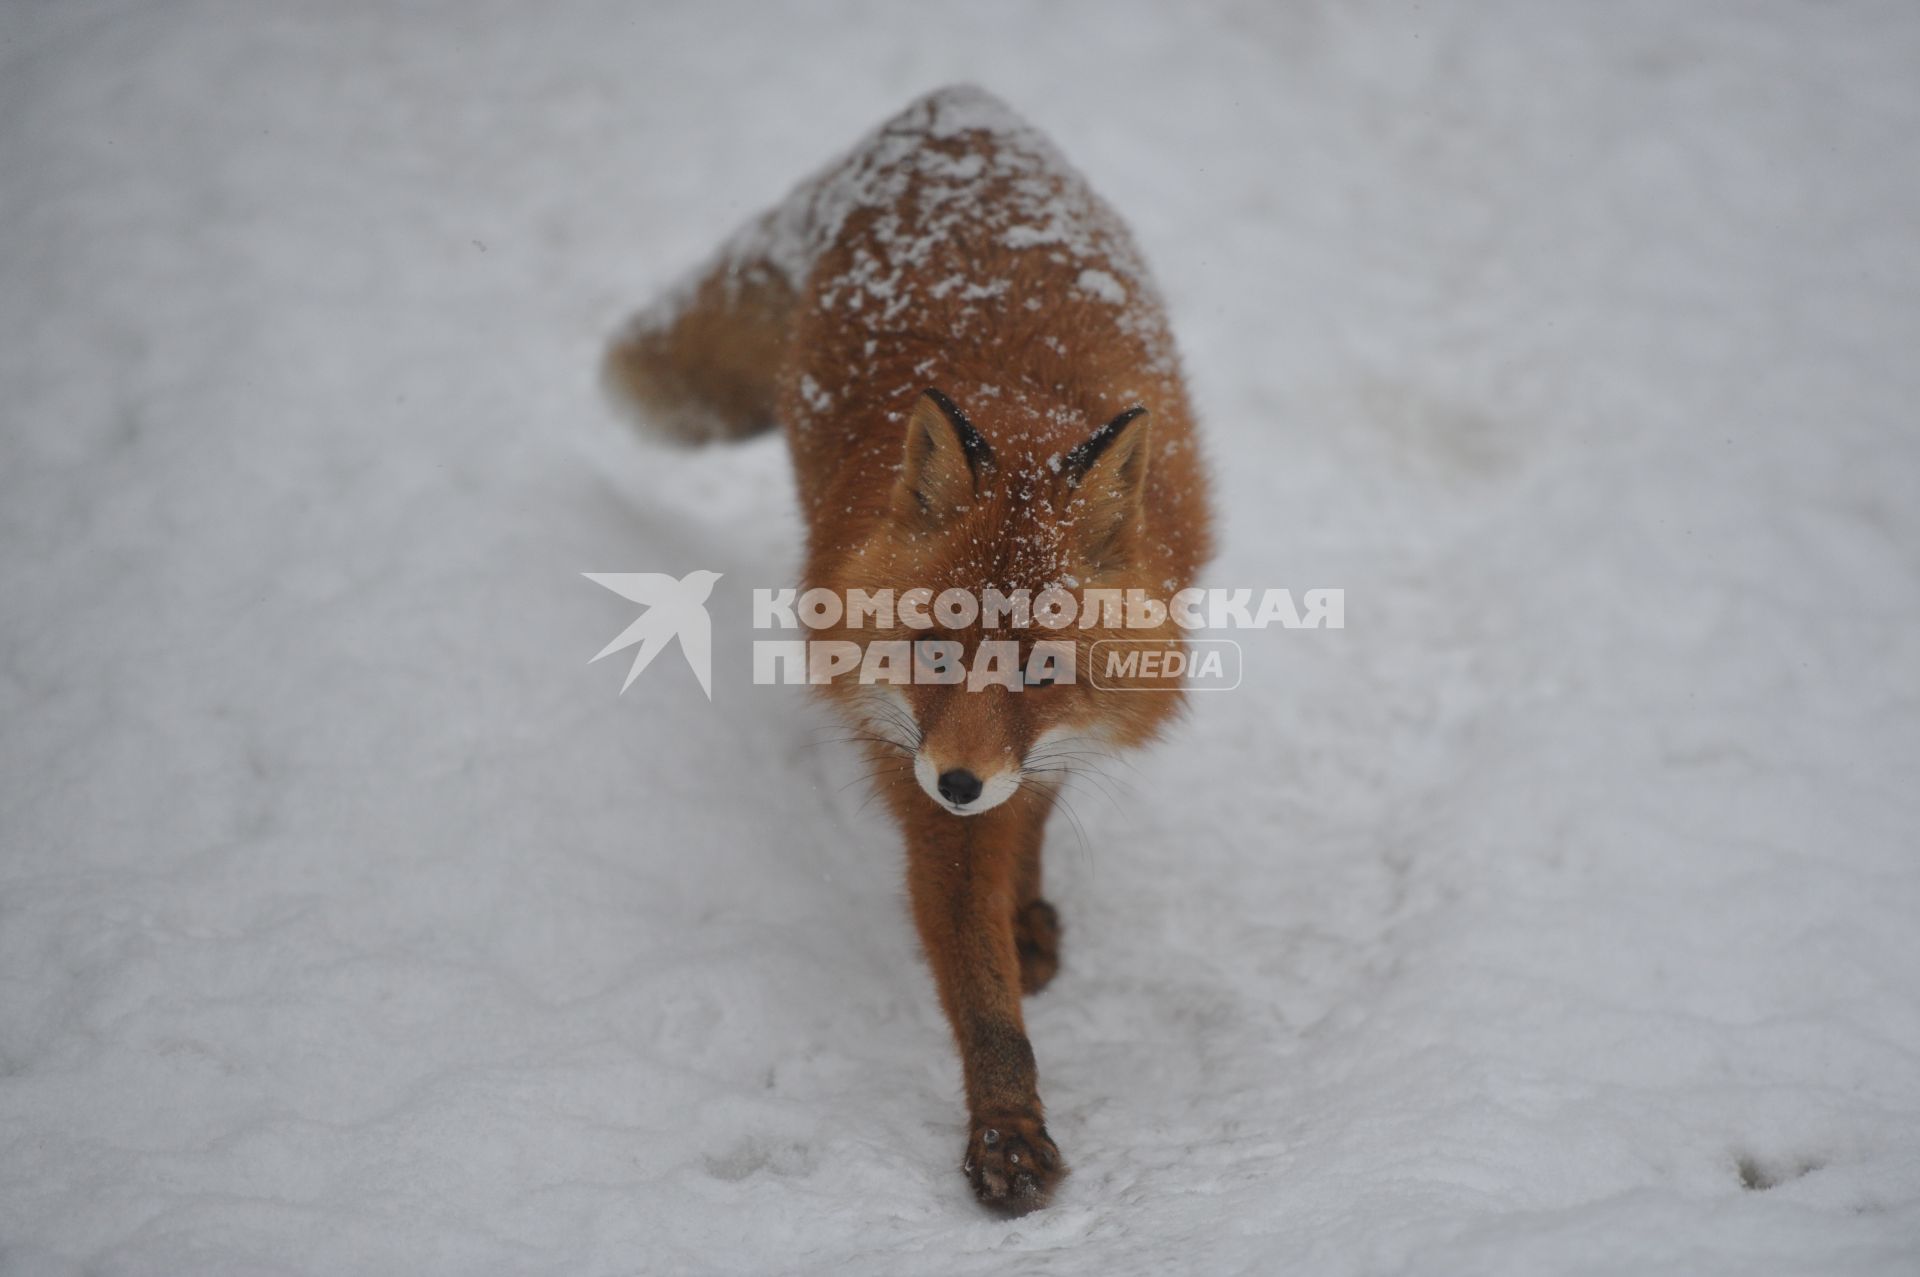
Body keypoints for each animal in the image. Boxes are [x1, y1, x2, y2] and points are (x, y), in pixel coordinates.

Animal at [602, 84, 1213, 1213]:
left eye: (1040, 667)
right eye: (931, 648)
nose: (961, 782)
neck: (1020, 408)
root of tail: (950, 107)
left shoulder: (1046, 732)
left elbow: (1042, 796)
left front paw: (1025, 904)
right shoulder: (910, 759)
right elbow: (978, 987)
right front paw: (1007, 1127)